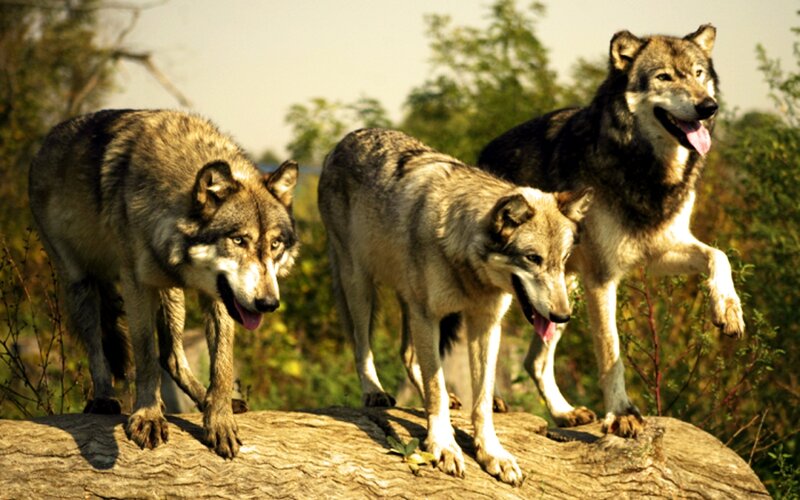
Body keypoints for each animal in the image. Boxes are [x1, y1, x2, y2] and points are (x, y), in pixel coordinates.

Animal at [29, 109, 299, 458]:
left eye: (275, 244)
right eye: (239, 240)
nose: (268, 304)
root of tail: (45, 143)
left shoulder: (219, 297)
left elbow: (222, 367)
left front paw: (219, 419)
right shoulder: (136, 285)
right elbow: (145, 357)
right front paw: (148, 417)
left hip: (171, 293)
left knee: (172, 357)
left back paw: (205, 400)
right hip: (82, 284)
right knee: (98, 347)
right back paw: (103, 398)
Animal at [318, 128, 592, 484]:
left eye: (563, 261)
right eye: (533, 259)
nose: (563, 316)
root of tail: (342, 143)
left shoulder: (485, 325)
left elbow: (482, 400)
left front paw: (492, 454)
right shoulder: (428, 315)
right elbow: (435, 387)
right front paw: (444, 445)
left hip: (407, 301)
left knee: (408, 354)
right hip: (362, 287)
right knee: (362, 347)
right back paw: (374, 392)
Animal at [478, 24, 744, 437]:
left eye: (698, 74)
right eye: (664, 77)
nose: (708, 107)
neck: (648, 171)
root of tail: (482, 155)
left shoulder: (661, 250)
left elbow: (719, 255)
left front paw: (728, 309)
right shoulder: (602, 279)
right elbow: (611, 351)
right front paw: (621, 414)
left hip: (562, 296)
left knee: (535, 361)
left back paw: (564, 413)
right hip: (516, 292)